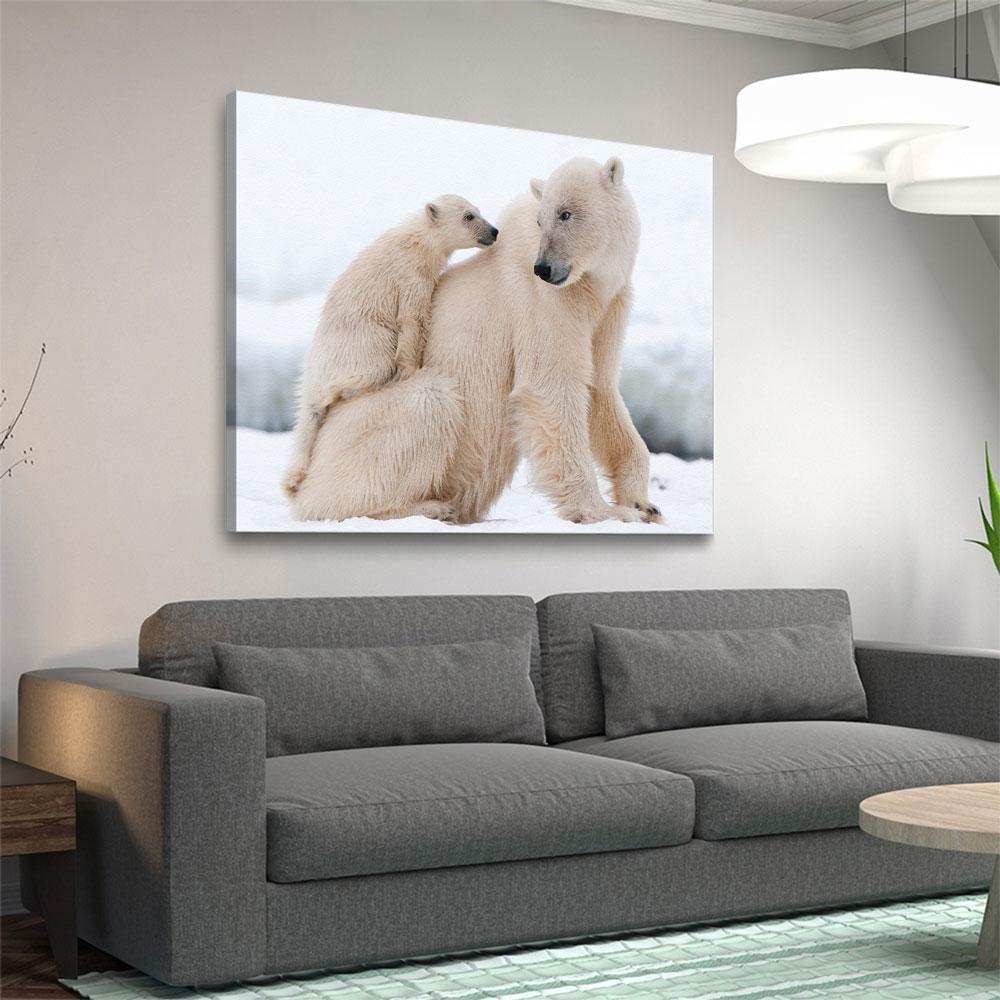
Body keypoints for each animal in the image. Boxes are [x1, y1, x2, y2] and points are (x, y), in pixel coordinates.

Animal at [281, 195, 498, 500]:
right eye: (469, 216)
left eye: (478, 211)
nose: (494, 231)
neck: (417, 240)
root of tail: (313, 376)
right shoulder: (410, 276)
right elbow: (411, 319)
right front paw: (411, 369)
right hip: (362, 344)